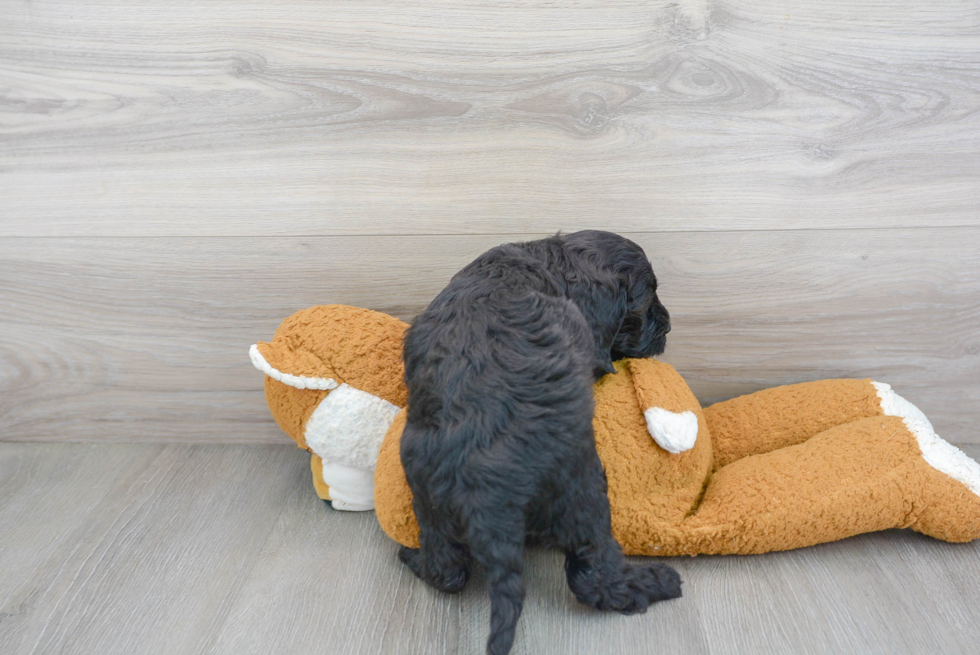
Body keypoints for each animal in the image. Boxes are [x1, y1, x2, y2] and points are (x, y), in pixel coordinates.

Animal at [398, 231, 680, 655]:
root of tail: (488, 495)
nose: (668, 325)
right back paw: (655, 582)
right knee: (594, 578)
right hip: (584, 489)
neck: (548, 262)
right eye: (647, 301)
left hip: (426, 493)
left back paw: (411, 556)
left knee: (448, 570)